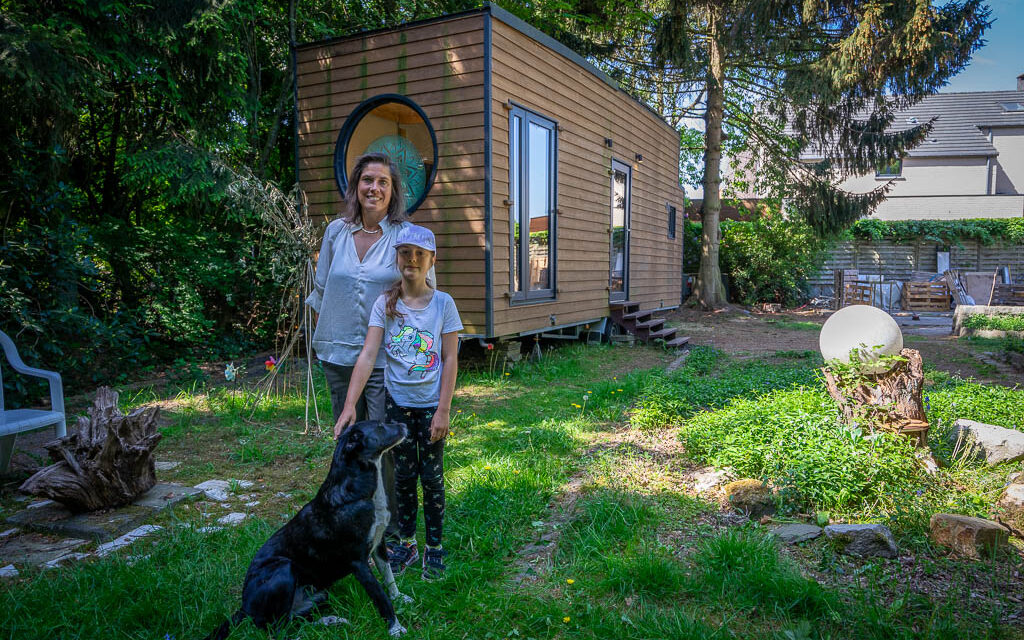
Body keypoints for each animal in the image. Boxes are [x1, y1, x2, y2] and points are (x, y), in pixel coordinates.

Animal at [205, 419, 409, 638]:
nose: (404, 424)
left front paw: (399, 597)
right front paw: (395, 627)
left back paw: (331, 620)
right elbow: (380, 597)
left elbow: (388, 577)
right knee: (277, 629)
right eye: (380, 426)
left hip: (319, 594)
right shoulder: (358, 562)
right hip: (284, 569)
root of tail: (244, 608)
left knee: (295, 620)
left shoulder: (379, 544)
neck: (357, 491)